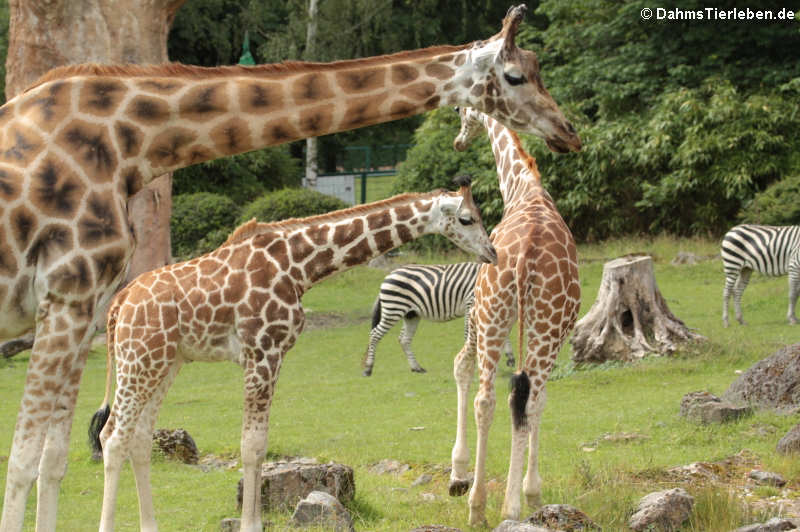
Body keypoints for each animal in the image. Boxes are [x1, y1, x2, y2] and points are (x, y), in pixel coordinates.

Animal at [92, 178, 494, 532]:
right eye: (466, 218)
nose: (492, 253)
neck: (300, 267)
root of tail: (118, 306)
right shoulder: (262, 350)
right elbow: (251, 445)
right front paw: (250, 525)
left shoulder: (274, 354)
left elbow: (261, 444)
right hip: (139, 359)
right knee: (112, 436)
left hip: (164, 361)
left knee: (139, 438)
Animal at [360, 260, 512, 374]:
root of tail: (389, 275)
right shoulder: (471, 304)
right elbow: (470, 335)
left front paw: (509, 357)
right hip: (393, 309)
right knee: (375, 334)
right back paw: (368, 368)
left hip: (411, 314)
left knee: (404, 339)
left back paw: (416, 367)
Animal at [446, 106, 580, 524]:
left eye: (459, 110)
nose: (459, 140)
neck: (522, 186)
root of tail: (524, 259)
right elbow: (536, 401)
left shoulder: (486, 314)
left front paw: (462, 475)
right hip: (537, 322)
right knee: (521, 399)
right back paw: (510, 504)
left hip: (499, 315)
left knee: (492, 399)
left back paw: (483, 506)